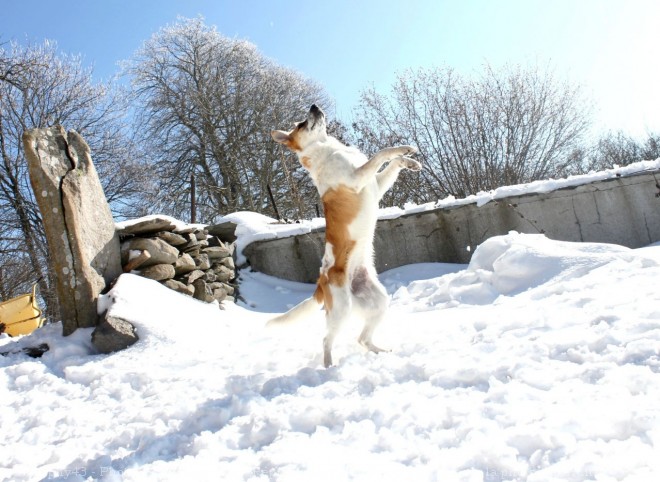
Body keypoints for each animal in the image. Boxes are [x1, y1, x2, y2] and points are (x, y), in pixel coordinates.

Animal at [270, 104, 420, 366]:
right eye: (301, 124)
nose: (314, 106)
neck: (329, 150)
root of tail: (321, 282)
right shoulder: (358, 177)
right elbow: (381, 154)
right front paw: (402, 151)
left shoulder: (376, 184)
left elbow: (391, 164)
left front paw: (409, 158)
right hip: (342, 311)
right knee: (326, 340)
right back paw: (329, 367)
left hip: (379, 301)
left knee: (362, 339)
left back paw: (382, 352)